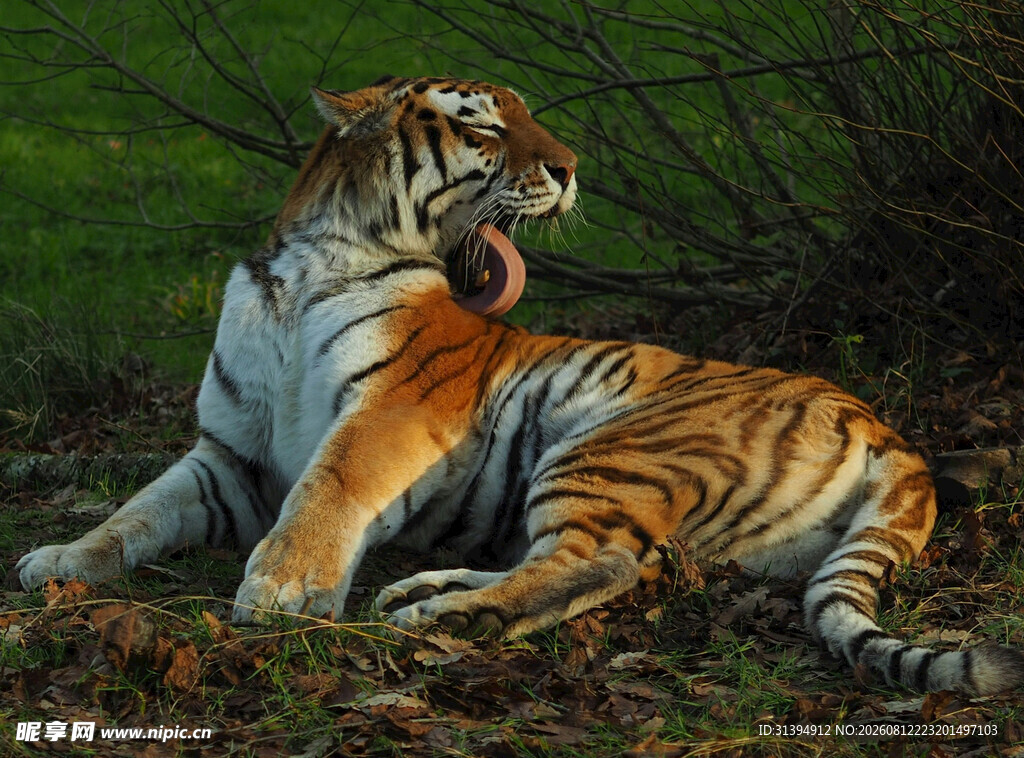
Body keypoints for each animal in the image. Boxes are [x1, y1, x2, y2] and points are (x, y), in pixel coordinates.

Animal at [16, 75, 1023, 696]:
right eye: (483, 125)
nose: (573, 168)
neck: (313, 259)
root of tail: (887, 429)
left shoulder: (389, 410)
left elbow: (329, 488)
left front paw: (285, 593)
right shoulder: (231, 456)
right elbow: (137, 512)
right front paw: (60, 562)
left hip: (608, 446)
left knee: (596, 562)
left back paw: (443, 615)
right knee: (610, 562)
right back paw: (423, 592)